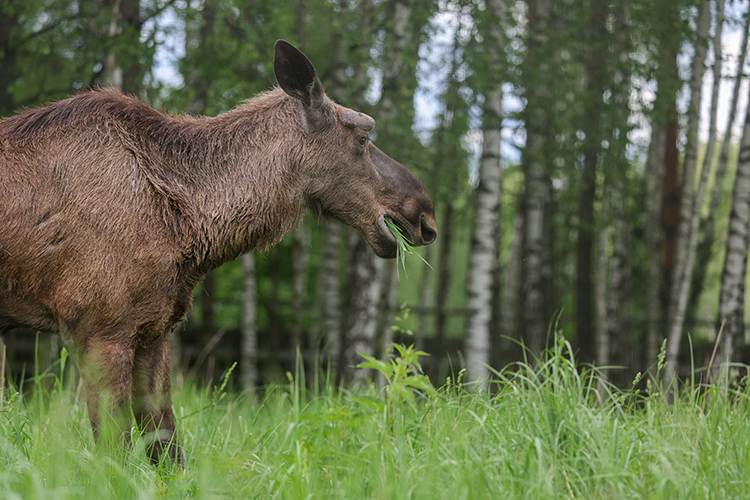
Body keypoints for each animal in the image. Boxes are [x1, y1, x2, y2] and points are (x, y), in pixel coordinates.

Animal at [0, 40, 437, 467]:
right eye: (362, 138)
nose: (425, 214)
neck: (190, 230)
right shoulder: (99, 328)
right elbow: (115, 453)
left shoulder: (153, 330)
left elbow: (167, 450)